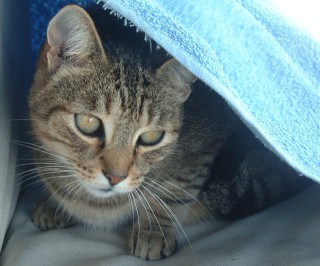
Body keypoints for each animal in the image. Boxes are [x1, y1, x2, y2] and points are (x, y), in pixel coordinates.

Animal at [28, 4, 312, 262]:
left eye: (151, 137)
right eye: (88, 123)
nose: (115, 177)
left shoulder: (202, 152)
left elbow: (174, 192)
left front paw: (153, 231)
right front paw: (54, 205)